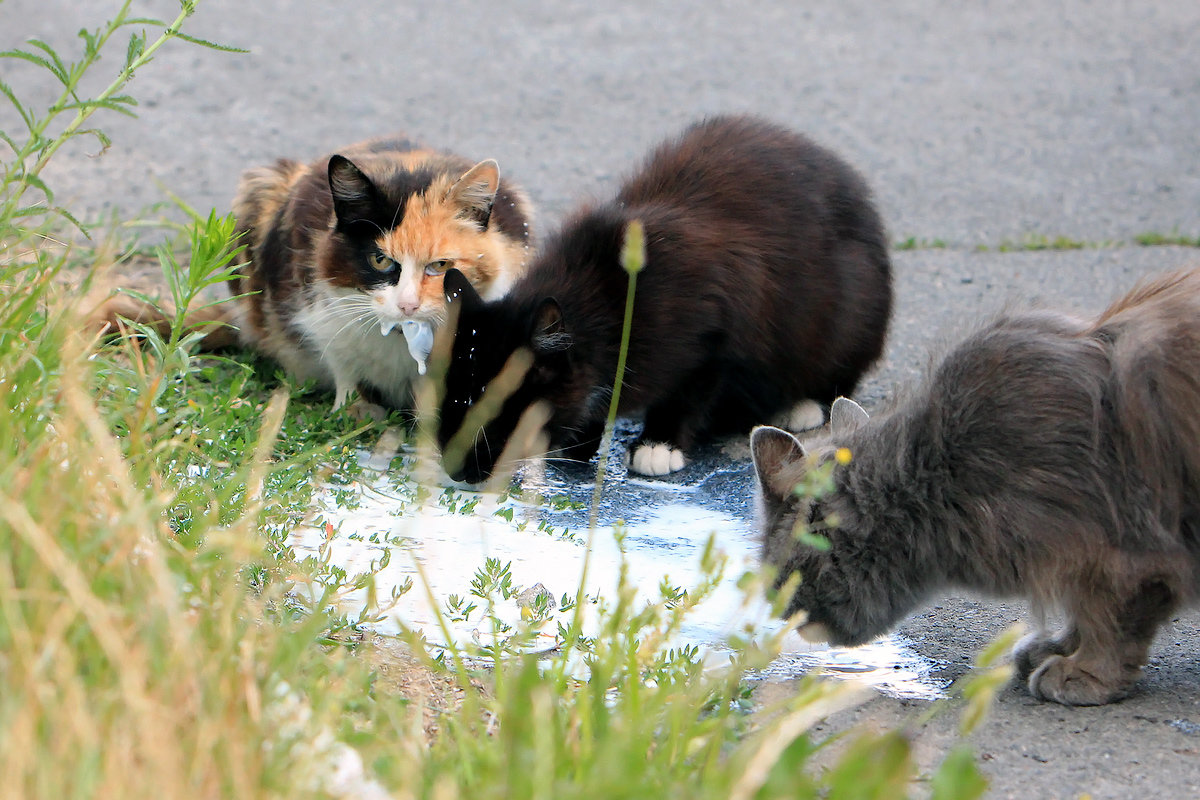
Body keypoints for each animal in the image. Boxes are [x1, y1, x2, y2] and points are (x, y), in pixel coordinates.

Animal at [100, 134, 532, 410]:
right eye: (380, 261)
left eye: (440, 266)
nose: (408, 306)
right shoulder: (319, 315)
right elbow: (343, 365)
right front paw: (353, 412)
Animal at [439, 115, 892, 484]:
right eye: (449, 400)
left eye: (491, 413)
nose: (453, 468)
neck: (605, 294)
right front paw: (579, 441)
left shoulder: (722, 326)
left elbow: (688, 390)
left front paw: (658, 444)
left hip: (849, 310)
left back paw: (803, 405)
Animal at [753, 271, 1200, 705]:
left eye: (778, 579)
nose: (779, 616)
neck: (941, 478)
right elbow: (1083, 611)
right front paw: (1058, 648)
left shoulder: (1119, 551)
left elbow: (1108, 619)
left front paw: (1084, 673)